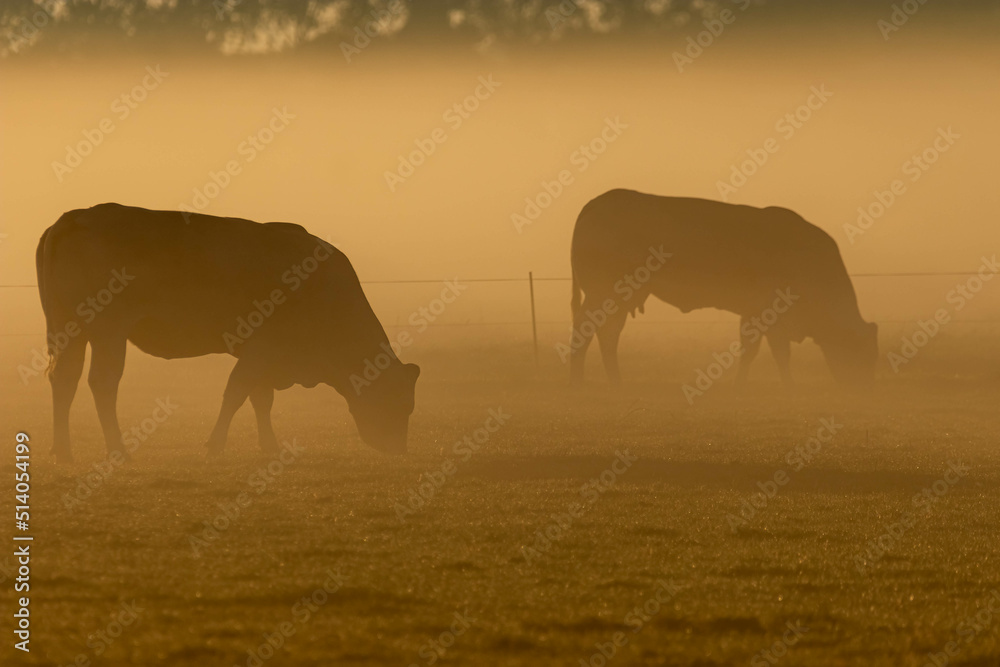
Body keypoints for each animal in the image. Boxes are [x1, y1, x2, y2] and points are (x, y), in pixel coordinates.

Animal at [36, 203, 419, 463]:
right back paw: (117, 449)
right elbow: (236, 393)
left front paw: (269, 446)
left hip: (70, 329)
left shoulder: (264, 356)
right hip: (108, 330)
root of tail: (74, 216)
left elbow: (260, 399)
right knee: (102, 383)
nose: (398, 449)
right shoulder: (261, 348)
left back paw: (63, 451)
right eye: (400, 402)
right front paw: (215, 445)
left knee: (64, 379)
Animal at [568, 189, 877, 387]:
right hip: (602, 293)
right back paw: (578, 380)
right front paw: (785, 384)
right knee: (587, 328)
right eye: (863, 354)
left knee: (608, 334)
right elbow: (773, 351)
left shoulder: (754, 312)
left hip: (619, 298)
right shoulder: (768, 312)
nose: (864, 387)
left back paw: (615, 381)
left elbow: (755, 350)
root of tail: (596, 203)